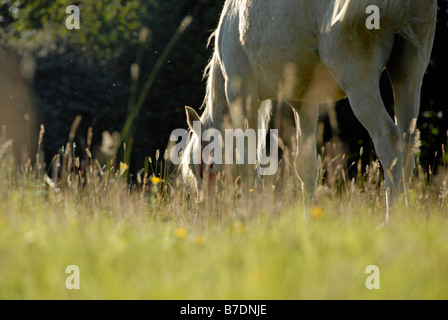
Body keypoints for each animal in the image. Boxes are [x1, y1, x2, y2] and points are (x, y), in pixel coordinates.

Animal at [180, 0, 436, 222]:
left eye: (202, 165)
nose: (205, 212)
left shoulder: (244, 100)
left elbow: (248, 164)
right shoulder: (304, 103)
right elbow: (306, 166)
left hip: (357, 77)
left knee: (388, 139)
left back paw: (392, 219)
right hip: (408, 74)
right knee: (407, 142)